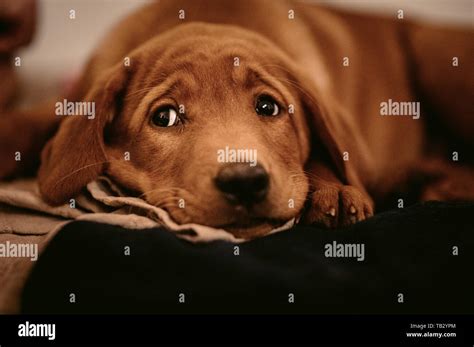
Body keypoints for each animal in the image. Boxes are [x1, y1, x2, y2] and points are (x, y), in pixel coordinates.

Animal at [0, 0, 474, 238]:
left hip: (437, 56)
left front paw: (334, 189)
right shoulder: (76, 91)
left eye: (268, 107)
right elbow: (35, 119)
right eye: (164, 116)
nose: (244, 182)